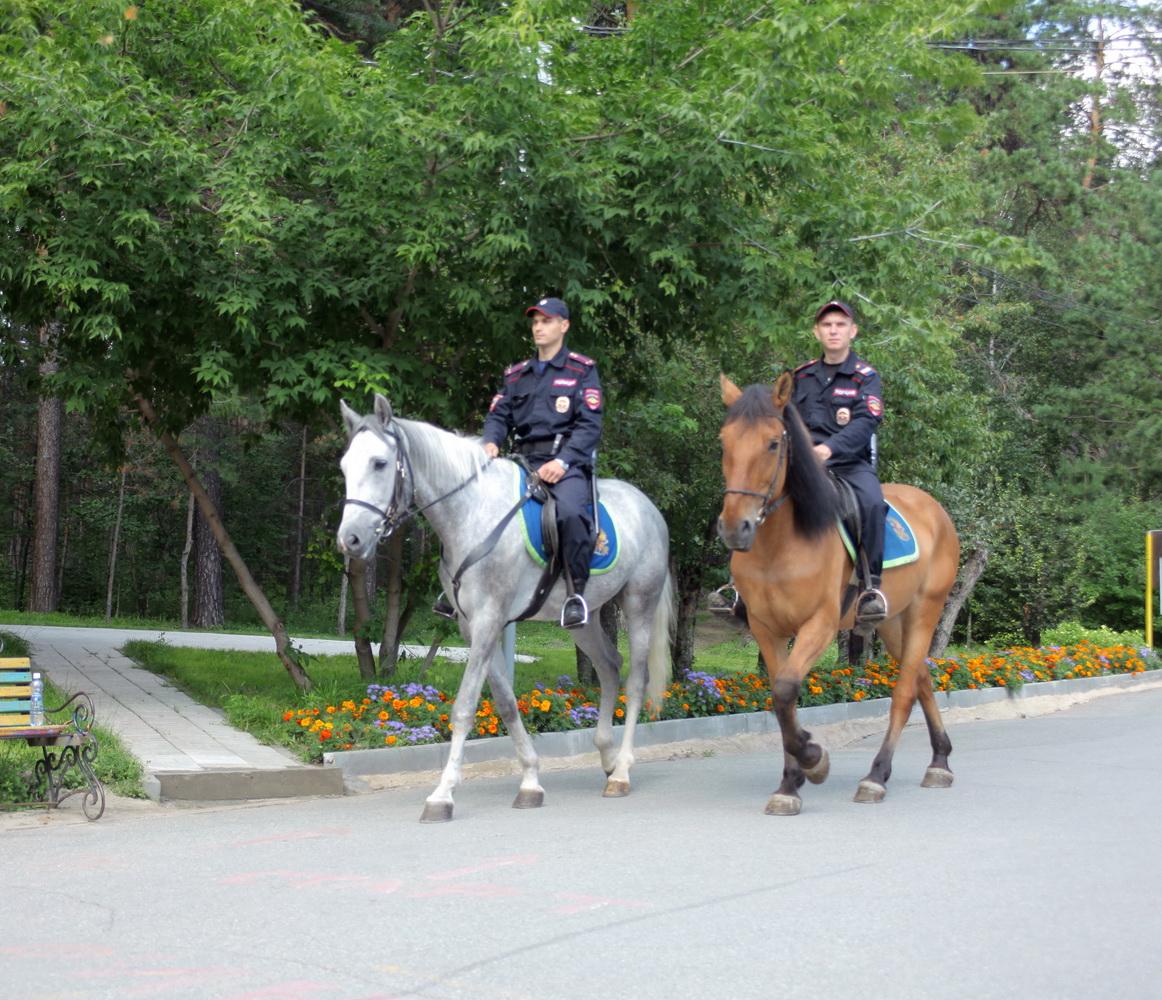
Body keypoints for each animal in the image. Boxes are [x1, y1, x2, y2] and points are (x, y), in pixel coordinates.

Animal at [336, 390, 673, 817]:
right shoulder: (473, 626)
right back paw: (608, 759)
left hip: (639, 604)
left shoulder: (488, 620)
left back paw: (623, 772)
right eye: (345, 465)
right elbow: (505, 701)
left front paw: (442, 794)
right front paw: (530, 780)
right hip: (584, 618)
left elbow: (465, 707)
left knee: (636, 679)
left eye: (380, 463)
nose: (350, 540)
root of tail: (648, 506)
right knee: (610, 667)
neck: (472, 514)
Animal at [715, 371, 962, 817]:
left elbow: (785, 692)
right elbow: (781, 701)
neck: (780, 545)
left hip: (926, 610)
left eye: (773, 443)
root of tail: (932, 507)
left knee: (904, 692)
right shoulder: (765, 628)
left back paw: (877, 776)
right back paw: (939, 760)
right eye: (724, 442)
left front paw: (813, 760)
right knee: (921, 677)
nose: (734, 528)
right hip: (893, 623)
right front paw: (791, 782)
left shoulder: (821, 625)